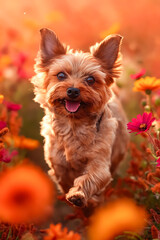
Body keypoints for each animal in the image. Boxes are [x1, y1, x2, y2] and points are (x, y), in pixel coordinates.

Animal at [31, 27, 129, 208]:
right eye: (61, 75)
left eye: (90, 79)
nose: (73, 90)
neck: (74, 125)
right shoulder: (58, 165)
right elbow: (64, 179)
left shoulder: (100, 163)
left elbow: (91, 177)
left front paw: (79, 195)